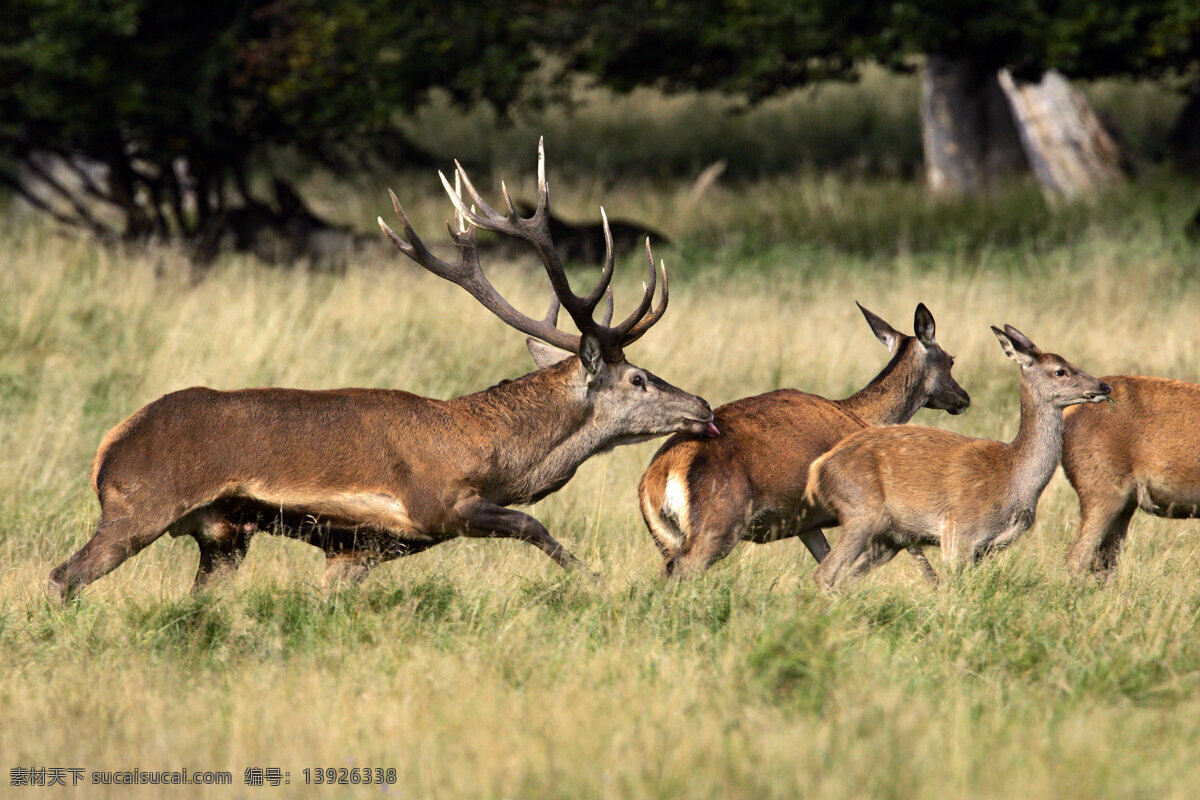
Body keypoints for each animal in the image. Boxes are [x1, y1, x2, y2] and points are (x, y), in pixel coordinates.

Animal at [49, 140, 710, 597]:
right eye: (638, 379)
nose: (702, 408)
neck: (497, 452)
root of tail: (107, 451)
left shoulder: (358, 550)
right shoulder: (436, 504)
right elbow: (535, 527)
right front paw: (598, 582)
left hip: (221, 538)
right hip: (141, 507)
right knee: (64, 576)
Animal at [638, 304, 964, 575]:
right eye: (951, 360)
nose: (964, 398)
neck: (864, 415)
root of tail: (659, 475)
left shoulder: (805, 522)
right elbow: (921, 562)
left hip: (666, 536)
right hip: (716, 526)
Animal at [811, 321, 1108, 592]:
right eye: (1060, 371)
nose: (1104, 386)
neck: (1013, 477)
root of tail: (819, 468)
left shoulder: (985, 548)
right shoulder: (958, 530)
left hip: (888, 537)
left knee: (844, 578)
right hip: (861, 512)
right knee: (825, 571)